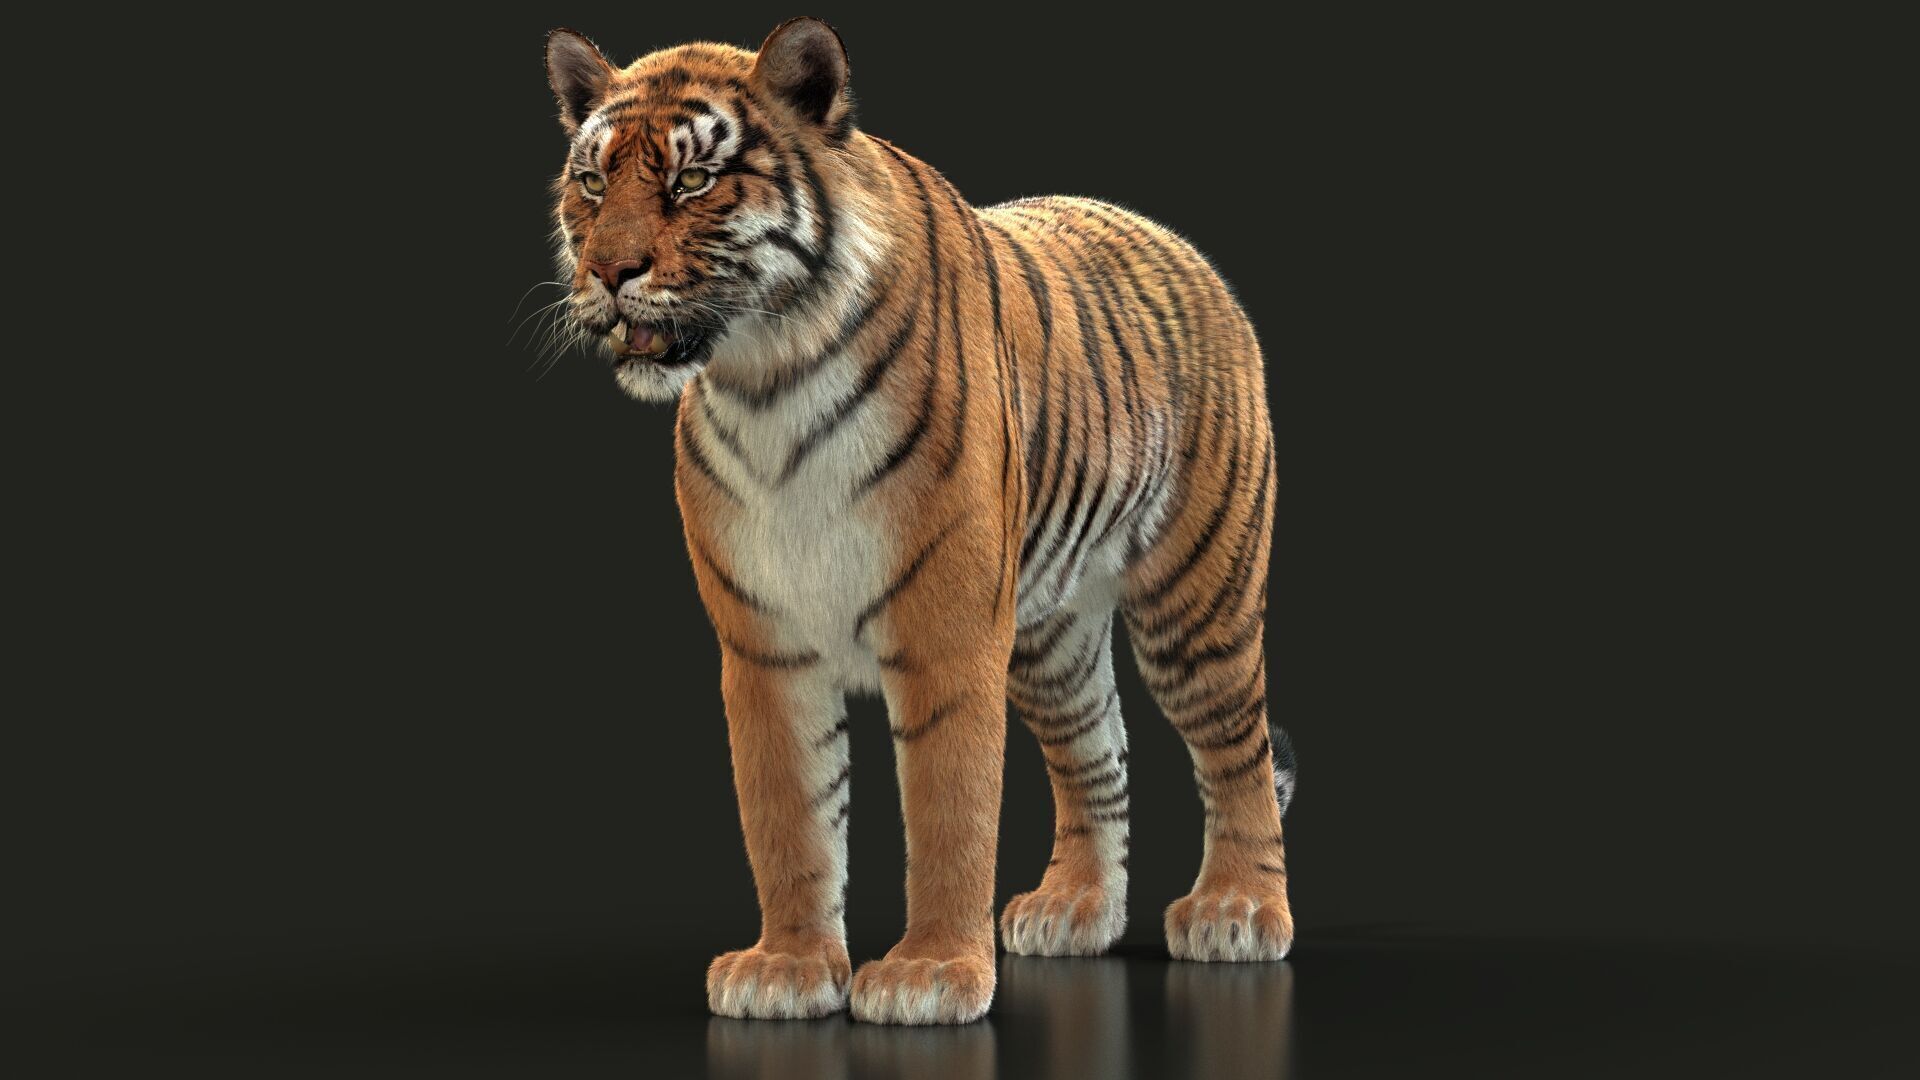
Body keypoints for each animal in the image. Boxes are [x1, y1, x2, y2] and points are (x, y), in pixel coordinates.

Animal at [543, 18, 1294, 1025]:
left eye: (692, 180)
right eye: (593, 181)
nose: (607, 272)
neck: (768, 381)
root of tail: (1175, 243)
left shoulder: (947, 636)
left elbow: (949, 814)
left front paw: (931, 974)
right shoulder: (765, 644)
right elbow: (789, 819)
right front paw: (787, 968)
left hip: (1194, 601)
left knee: (1236, 751)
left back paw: (1237, 910)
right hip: (1051, 635)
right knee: (1096, 753)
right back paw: (1074, 909)